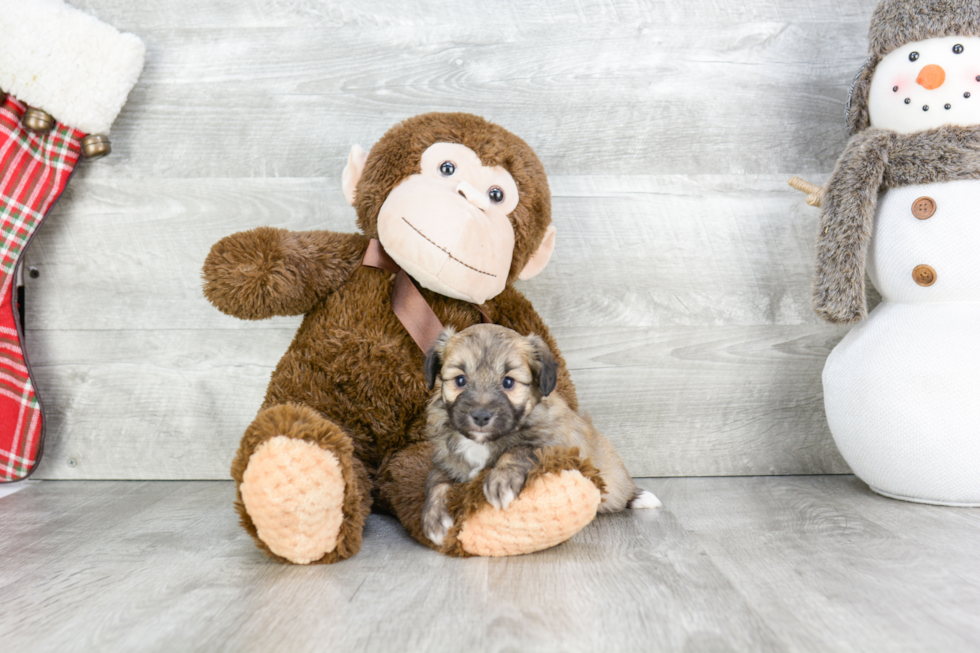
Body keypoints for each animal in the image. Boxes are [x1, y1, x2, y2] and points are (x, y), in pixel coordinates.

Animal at [422, 324, 660, 544]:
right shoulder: (448, 462)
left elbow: (520, 449)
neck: (482, 443)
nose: (480, 417)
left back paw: (638, 497)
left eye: (508, 382)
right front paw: (434, 517)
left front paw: (501, 480)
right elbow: (435, 479)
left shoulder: (558, 446)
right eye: (460, 380)